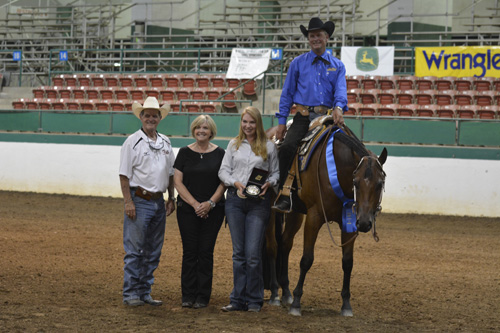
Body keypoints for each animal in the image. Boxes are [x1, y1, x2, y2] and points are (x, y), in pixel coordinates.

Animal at [264, 120, 388, 316]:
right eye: (356, 182)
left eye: (380, 183)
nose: (365, 223)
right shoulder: (314, 217)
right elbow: (307, 259)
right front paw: (297, 303)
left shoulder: (350, 220)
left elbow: (347, 262)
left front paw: (346, 305)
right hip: (270, 209)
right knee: (272, 247)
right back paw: (276, 293)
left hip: (295, 213)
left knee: (285, 244)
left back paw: (286, 292)